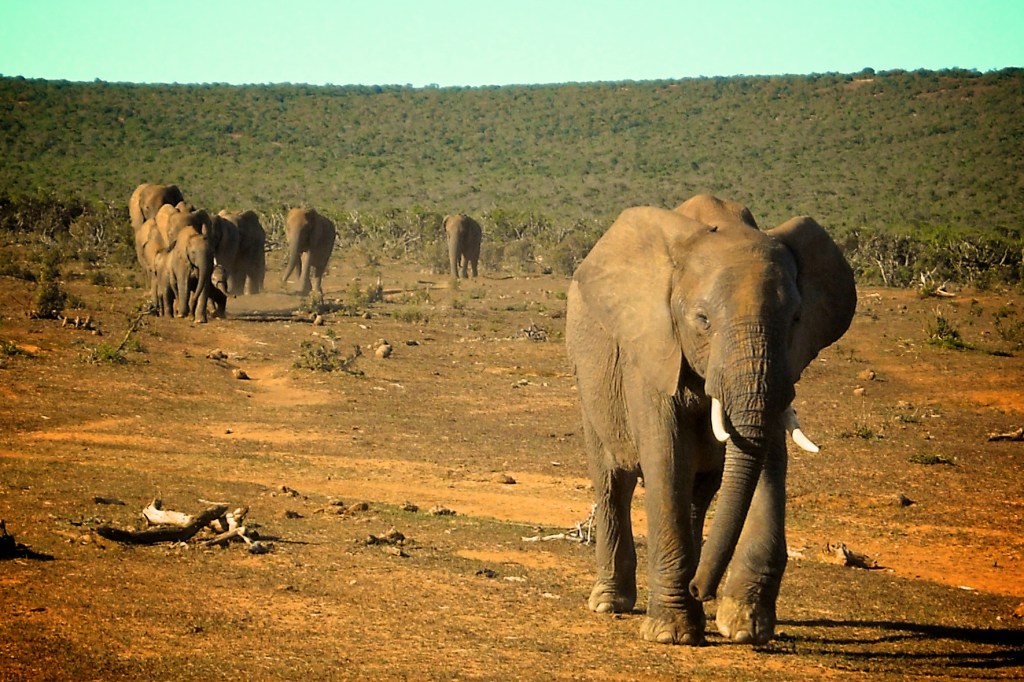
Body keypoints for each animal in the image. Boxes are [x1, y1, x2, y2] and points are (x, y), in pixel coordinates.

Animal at [565, 197, 856, 646]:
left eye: (795, 319)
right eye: (702, 320)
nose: (701, 588)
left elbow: (768, 461)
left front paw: (745, 627)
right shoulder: (652, 350)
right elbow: (667, 459)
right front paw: (671, 635)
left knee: (697, 494)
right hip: (588, 378)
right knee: (614, 480)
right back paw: (609, 603)